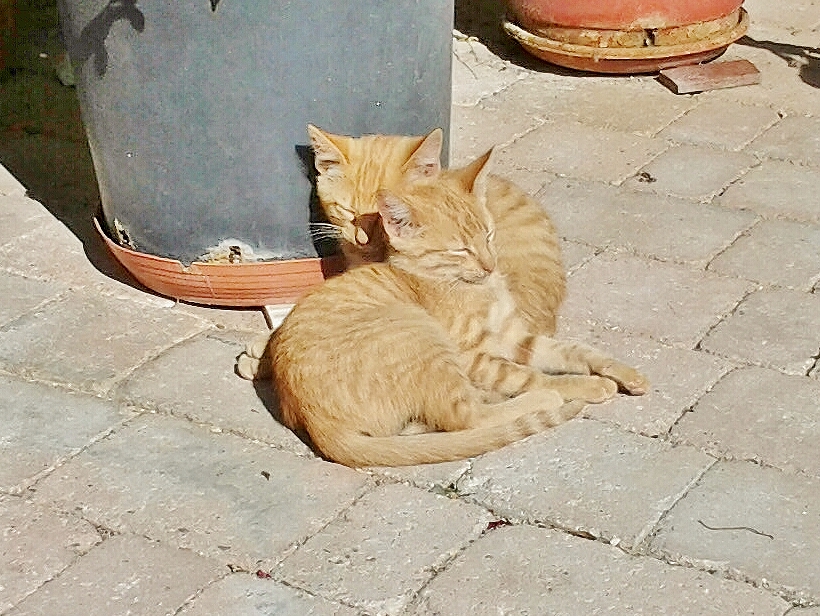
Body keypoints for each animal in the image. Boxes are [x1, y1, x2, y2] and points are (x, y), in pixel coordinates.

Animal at [266, 150, 644, 466]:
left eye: (489, 236)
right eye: (460, 250)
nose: (491, 265)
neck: (478, 289)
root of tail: (316, 422)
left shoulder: (514, 337)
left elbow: (577, 351)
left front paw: (625, 373)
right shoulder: (473, 355)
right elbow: (528, 375)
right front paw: (584, 386)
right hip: (423, 336)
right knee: (467, 418)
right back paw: (539, 400)